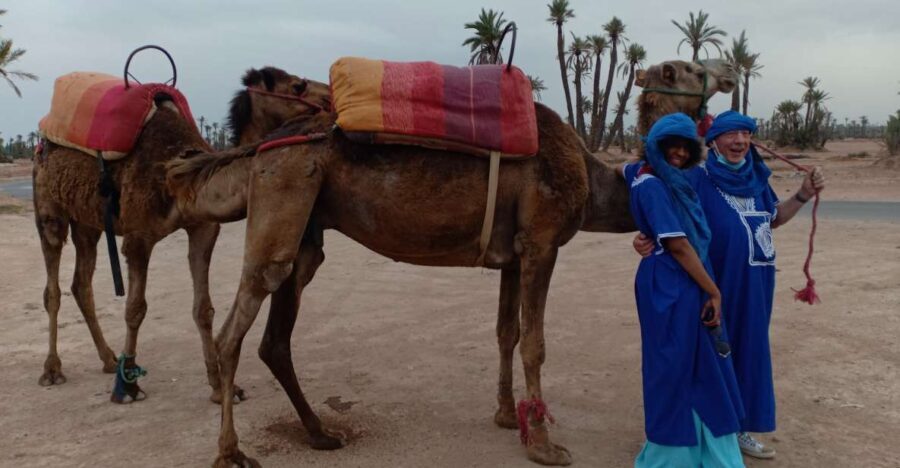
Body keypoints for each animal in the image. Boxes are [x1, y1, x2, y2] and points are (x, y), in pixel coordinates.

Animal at [32, 66, 331, 404]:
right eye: (297, 85)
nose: (331, 96)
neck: (177, 177)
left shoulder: (202, 229)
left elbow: (203, 309)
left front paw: (221, 388)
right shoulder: (138, 237)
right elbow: (135, 309)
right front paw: (128, 385)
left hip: (89, 223)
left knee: (81, 283)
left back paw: (108, 359)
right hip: (49, 210)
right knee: (53, 287)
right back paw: (53, 369)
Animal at [164, 59, 736, 467]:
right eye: (678, 68)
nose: (731, 71)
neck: (593, 179)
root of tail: (264, 144)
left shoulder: (514, 254)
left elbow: (506, 333)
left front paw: (507, 416)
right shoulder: (542, 243)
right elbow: (535, 344)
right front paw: (544, 445)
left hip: (307, 229)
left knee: (276, 338)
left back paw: (321, 434)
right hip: (284, 194)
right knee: (240, 323)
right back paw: (231, 452)